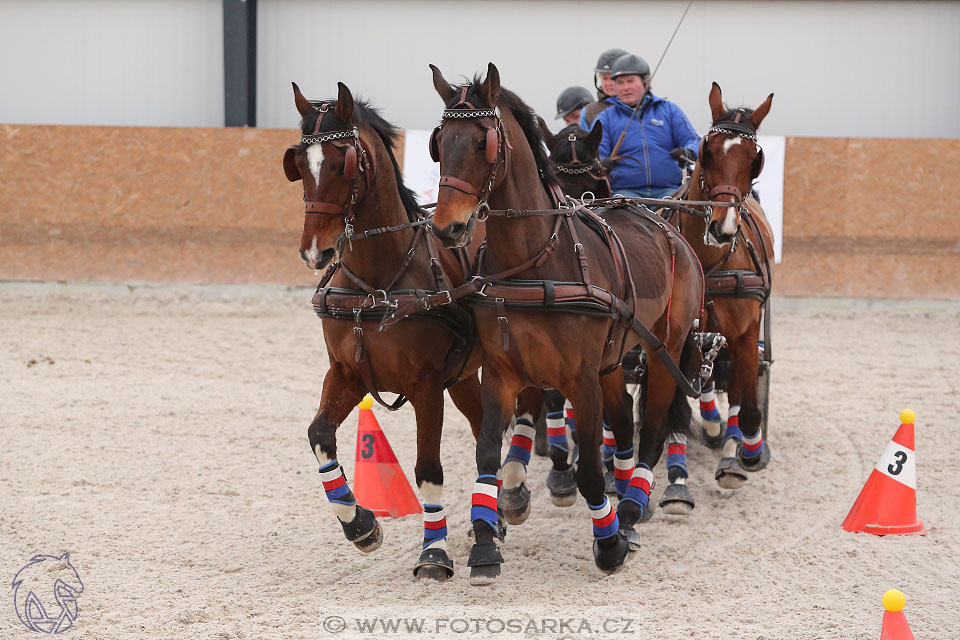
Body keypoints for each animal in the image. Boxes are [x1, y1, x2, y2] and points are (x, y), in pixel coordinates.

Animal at [282, 80, 488, 580]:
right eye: (298, 163)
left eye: (342, 162)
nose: (315, 252)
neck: (379, 283)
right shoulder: (346, 373)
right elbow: (319, 435)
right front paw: (360, 525)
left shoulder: (427, 385)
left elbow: (428, 468)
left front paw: (434, 553)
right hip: (464, 376)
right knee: (483, 430)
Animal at [428, 63, 704, 580]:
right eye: (440, 142)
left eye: (481, 143)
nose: (447, 228)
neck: (535, 263)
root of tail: (667, 226)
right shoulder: (501, 372)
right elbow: (487, 452)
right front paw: (485, 541)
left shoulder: (580, 378)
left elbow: (591, 468)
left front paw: (609, 543)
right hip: (614, 361)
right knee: (624, 423)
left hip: (667, 351)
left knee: (653, 432)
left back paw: (631, 512)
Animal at [668, 82, 780, 488]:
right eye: (709, 150)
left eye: (753, 159)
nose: (723, 228)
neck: (708, 263)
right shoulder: (678, 338)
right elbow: (673, 412)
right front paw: (676, 483)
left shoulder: (745, 334)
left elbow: (745, 405)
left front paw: (748, 452)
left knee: (732, 387)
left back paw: (729, 446)